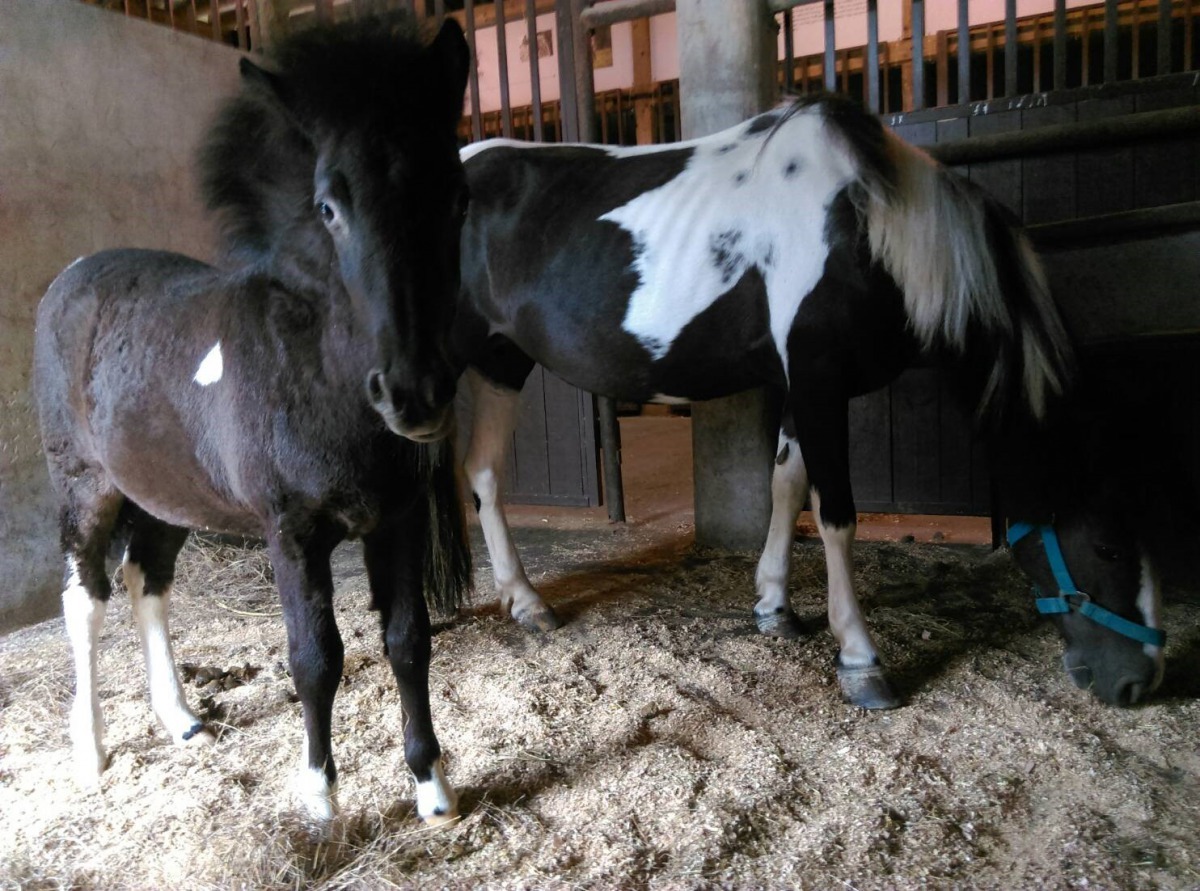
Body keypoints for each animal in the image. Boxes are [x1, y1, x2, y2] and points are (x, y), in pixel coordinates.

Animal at [34, 17, 472, 825]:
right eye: (329, 207)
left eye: (456, 197)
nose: (414, 394)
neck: (315, 372)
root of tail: (70, 277)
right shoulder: (290, 532)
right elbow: (316, 657)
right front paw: (320, 796)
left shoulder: (396, 519)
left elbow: (408, 640)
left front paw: (431, 787)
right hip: (84, 487)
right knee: (85, 600)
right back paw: (90, 751)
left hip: (165, 495)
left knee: (146, 580)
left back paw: (181, 719)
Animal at [451, 94, 1167, 709]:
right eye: (1107, 545)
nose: (1140, 682)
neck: (869, 231)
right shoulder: (820, 380)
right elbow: (836, 515)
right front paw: (861, 660)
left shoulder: (802, 386)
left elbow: (786, 486)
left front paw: (775, 608)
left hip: (500, 360)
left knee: (483, 475)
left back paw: (527, 603)